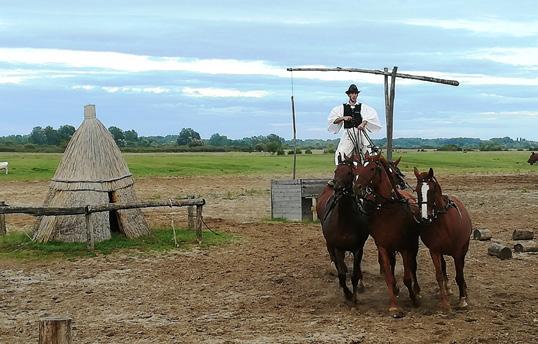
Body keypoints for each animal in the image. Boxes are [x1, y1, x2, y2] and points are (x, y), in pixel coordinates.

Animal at [316, 155, 370, 302]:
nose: (337, 188)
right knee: (335, 261)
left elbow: (355, 273)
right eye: (336, 171)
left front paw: (355, 295)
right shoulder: (337, 247)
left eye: (350, 173)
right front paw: (347, 293)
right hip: (329, 244)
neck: (344, 220)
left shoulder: (358, 248)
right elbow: (341, 273)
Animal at [354, 153, 420, 318]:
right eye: (359, 167)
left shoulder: (405, 247)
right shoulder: (383, 247)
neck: (389, 210)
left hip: (413, 245)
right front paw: (394, 307)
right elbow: (389, 276)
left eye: (372, 168)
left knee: (413, 266)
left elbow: (407, 277)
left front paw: (414, 299)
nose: (356, 187)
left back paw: (417, 290)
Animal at [412, 167, 472, 312]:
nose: (425, 217)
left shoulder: (457, 252)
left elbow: (459, 275)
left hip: (464, 248)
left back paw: (464, 290)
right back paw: (446, 288)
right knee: (443, 266)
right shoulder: (434, 251)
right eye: (417, 190)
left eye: (432, 190)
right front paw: (445, 302)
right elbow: (439, 274)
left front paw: (462, 300)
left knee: (461, 268)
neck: (442, 223)